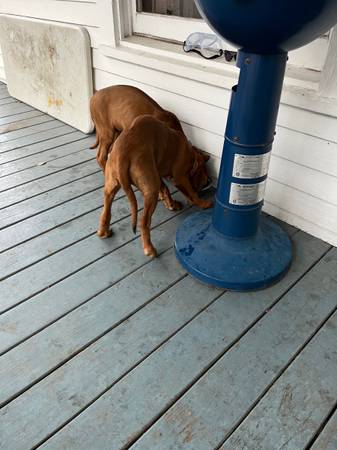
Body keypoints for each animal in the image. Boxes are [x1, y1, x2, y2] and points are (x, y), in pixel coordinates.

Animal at [97, 114, 211, 258]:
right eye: (203, 170)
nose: (208, 181)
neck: (190, 151)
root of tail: (124, 153)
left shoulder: (157, 173)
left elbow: (165, 188)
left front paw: (171, 204)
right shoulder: (180, 177)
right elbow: (191, 193)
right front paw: (204, 203)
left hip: (112, 184)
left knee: (106, 209)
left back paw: (103, 231)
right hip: (151, 190)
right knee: (144, 222)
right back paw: (149, 249)